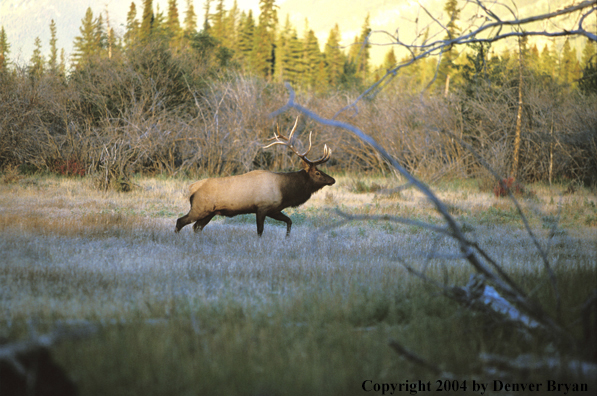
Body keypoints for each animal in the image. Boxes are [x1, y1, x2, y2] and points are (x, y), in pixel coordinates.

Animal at [176, 117, 336, 235]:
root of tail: (192, 188)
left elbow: (289, 221)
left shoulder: (274, 209)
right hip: (199, 208)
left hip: (210, 212)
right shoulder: (262, 207)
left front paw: (287, 238)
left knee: (196, 227)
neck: (285, 191)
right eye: (317, 172)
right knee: (180, 221)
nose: (333, 180)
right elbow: (260, 230)